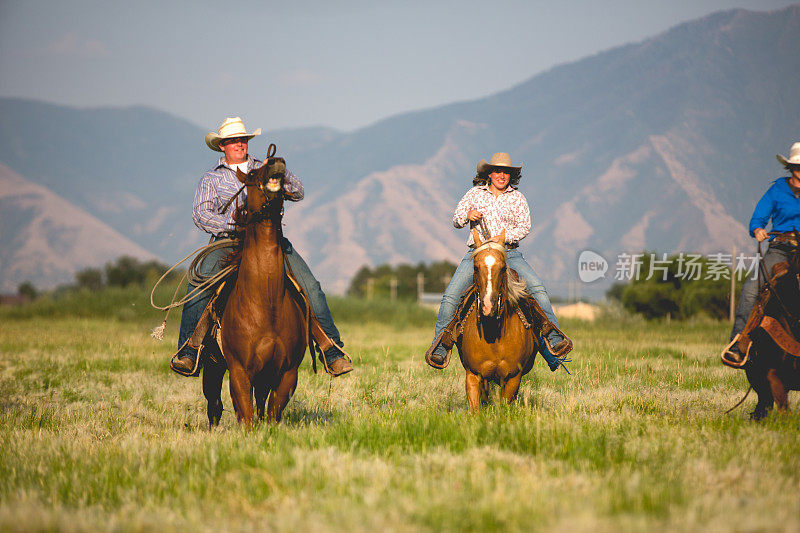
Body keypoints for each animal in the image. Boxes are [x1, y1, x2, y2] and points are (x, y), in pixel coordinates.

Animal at [202, 156, 308, 426]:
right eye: (252, 174)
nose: (276, 161)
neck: (266, 302)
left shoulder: (287, 373)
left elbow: (271, 415)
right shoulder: (239, 371)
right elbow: (246, 417)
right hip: (214, 364)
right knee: (214, 402)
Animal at [456, 227, 544, 410]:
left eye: (503, 268)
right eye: (475, 268)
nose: (488, 306)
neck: (493, 332)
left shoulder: (513, 378)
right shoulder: (473, 375)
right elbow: (475, 408)